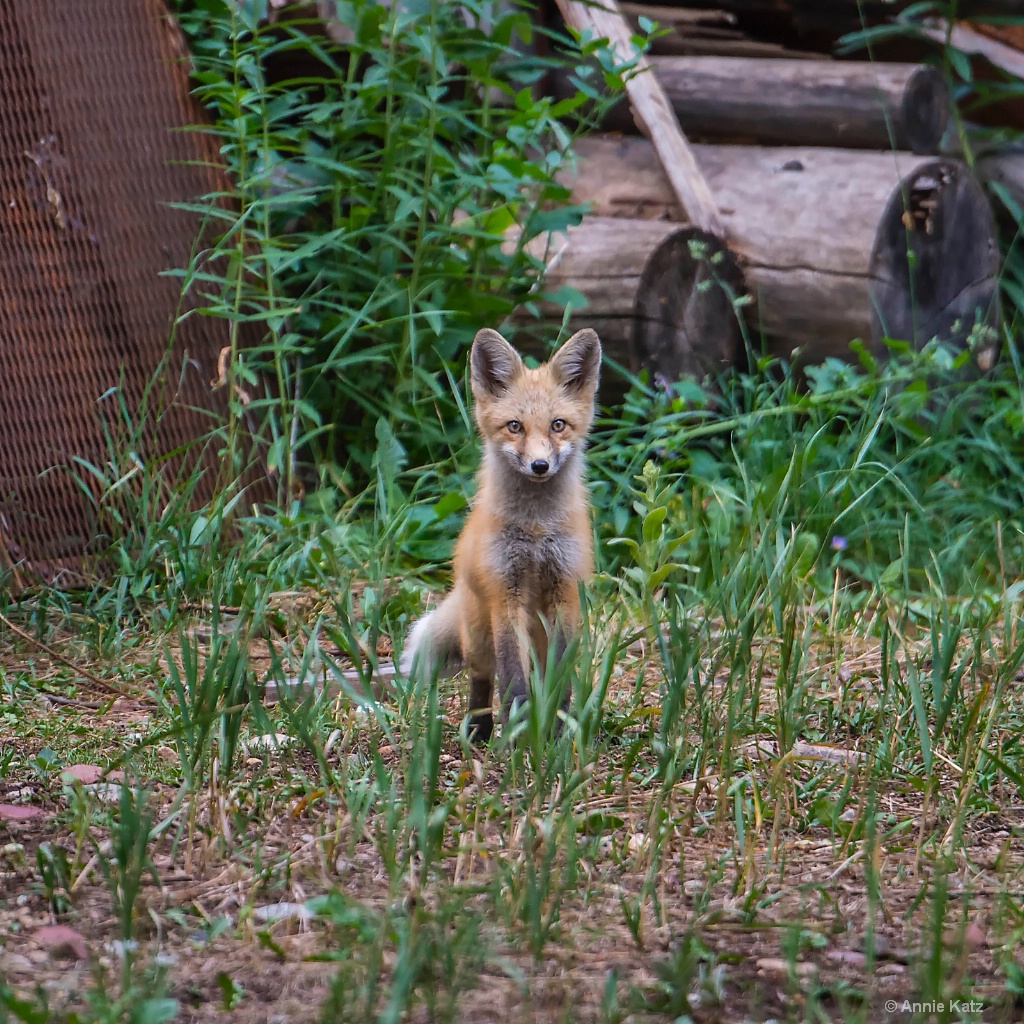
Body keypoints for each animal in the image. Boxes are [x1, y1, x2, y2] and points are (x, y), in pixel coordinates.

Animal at [397, 325, 598, 737]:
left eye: (558, 425)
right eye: (515, 427)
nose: (540, 465)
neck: (536, 530)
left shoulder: (565, 590)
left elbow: (560, 678)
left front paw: (555, 730)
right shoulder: (505, 592)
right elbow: (511, 679)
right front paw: (519, 732)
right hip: (478, 634)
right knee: (481, 677)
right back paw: (480, 730)